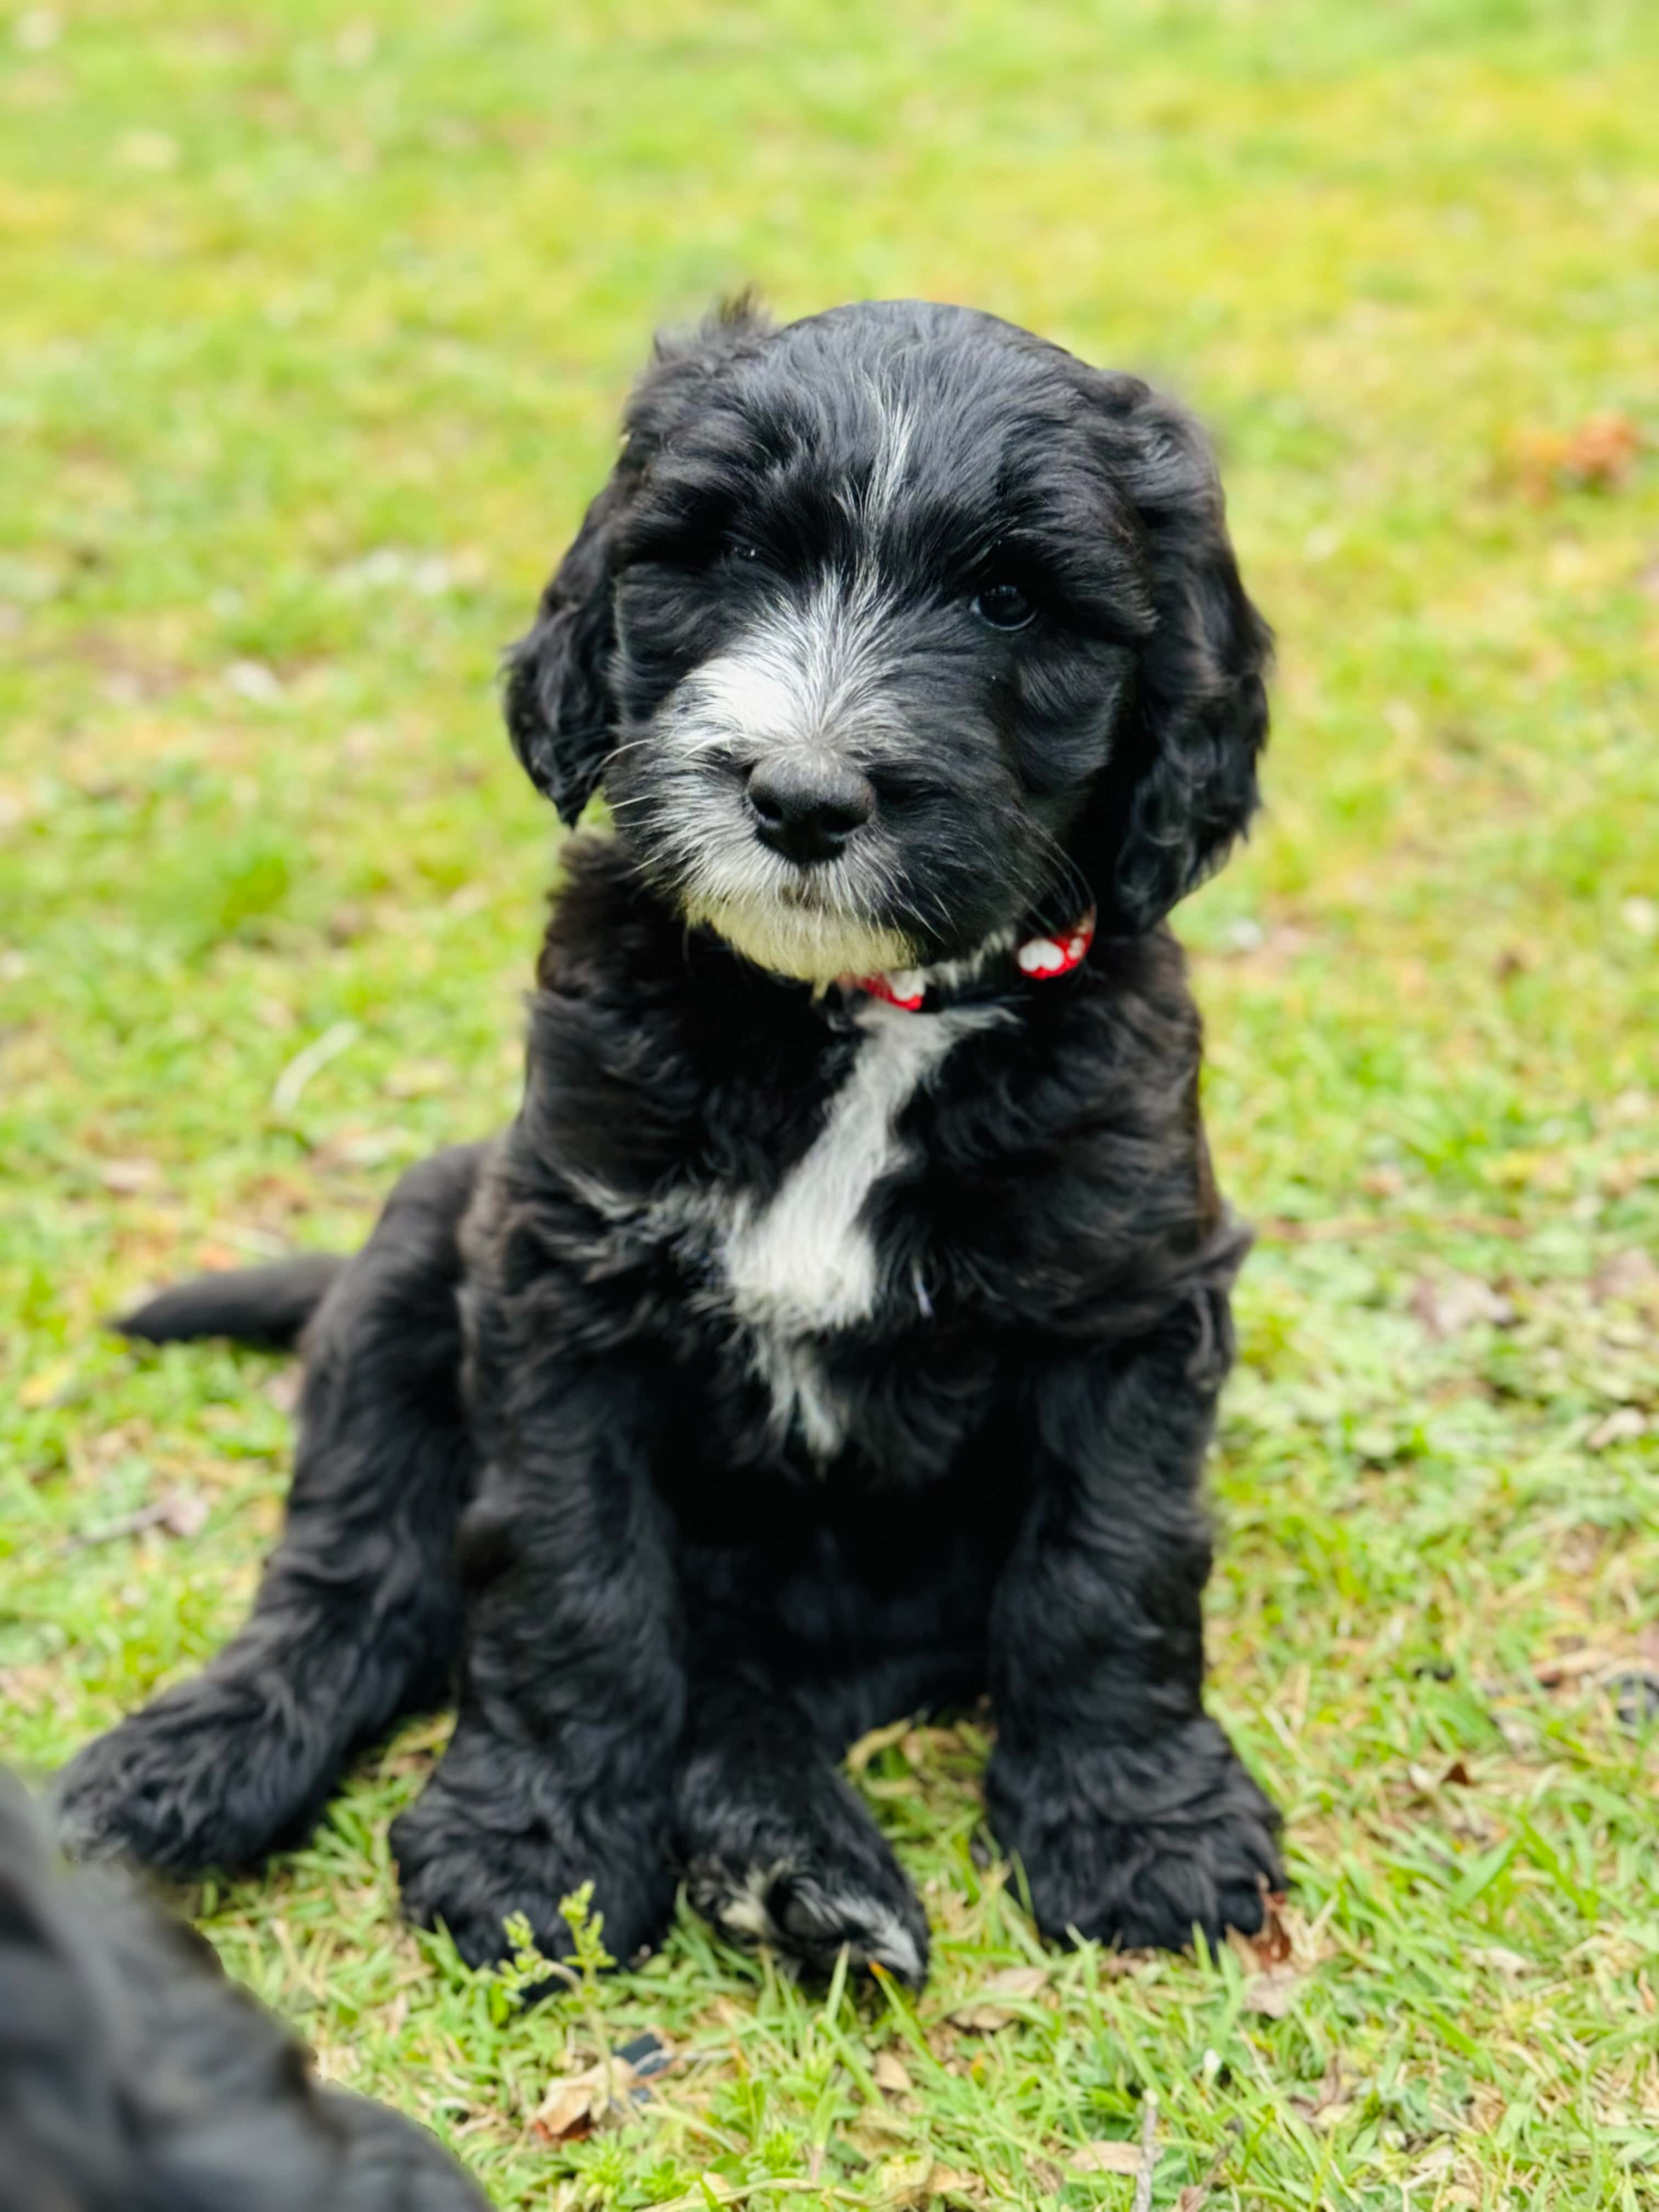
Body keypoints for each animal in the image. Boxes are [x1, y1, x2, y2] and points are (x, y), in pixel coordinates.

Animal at [58, 298, 1283, 1990]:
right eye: (733, 555)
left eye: (1009, 598)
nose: (803, 796)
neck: (850, 1020)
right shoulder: (558, 1277)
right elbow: (570, 1576)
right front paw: (537, 1849)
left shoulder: (1126, 1296)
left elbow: (1111, 1570)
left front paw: (1139, 1826)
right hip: (421, 1241)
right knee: (354, 1582)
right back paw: (191, 1767)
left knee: (754, 1688)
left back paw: (796, 1869)